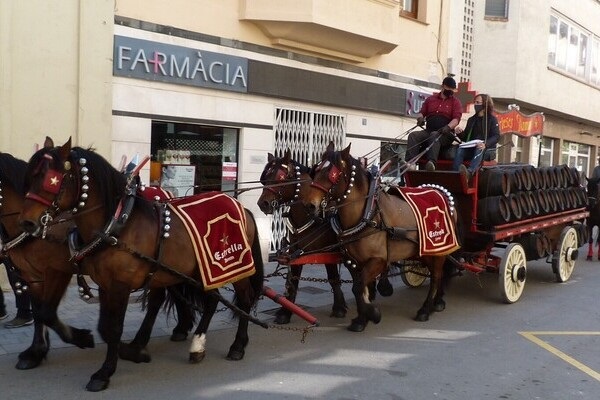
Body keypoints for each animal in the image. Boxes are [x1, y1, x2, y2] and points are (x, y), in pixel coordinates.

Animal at [18, 138, 264, 390]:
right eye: (30, 177)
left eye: (52, 179)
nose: (27, 222)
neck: (118, 223)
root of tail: (240, 206)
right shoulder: (105, 284)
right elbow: (103, 327)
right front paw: (117, 348)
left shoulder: (120, 284)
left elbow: (113, 328)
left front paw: (106, 371)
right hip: (202, 270)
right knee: (212, 301)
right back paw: (197, 345)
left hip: (234, 267)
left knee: (244, 299)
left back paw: (237, 346)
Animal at [256, 149, 346, 322]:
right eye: (264, 179)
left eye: (280, 178)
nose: (262, 204)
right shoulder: (295, 251)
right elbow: (293, 280)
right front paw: (285, 312)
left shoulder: (329, 251)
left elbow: (333, 278)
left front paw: (339, 307)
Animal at [302, 144, 458, 332]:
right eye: (316, 170)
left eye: (332, 175)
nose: (310, 205)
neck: (368, 215)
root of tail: (442, 192)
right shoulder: (352, 262)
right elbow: (359, 288)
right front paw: (362, 319)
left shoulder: (378, 260)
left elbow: (359, 287)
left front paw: (372, 313)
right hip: (423, 252)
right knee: (439, 273)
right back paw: (438, 302)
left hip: (438, 250)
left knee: (436, 277)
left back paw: (426, 309)